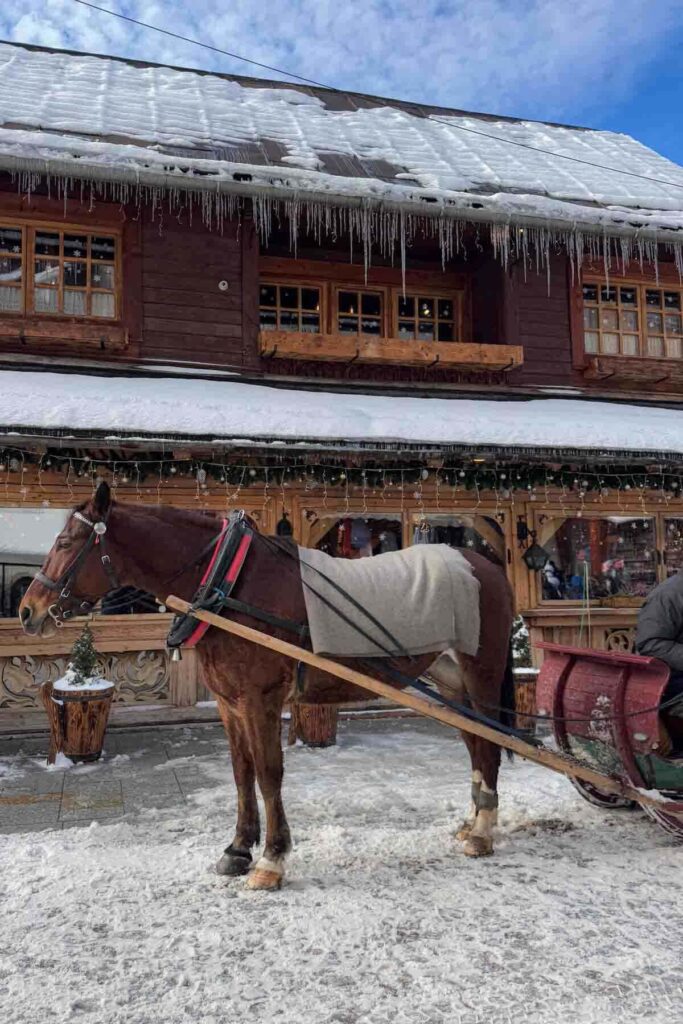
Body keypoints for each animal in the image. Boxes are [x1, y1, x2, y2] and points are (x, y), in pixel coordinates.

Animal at [19, 482, 515, 890]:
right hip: (452, 685)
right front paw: (238, 849)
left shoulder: (261, 699)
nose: (27, 611)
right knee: (475, 743)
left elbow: (268, 772)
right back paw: (473, 820)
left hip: (482, 676)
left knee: (490, 744)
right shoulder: (230, 702)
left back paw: (483, 832)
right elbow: (242, 772)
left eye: (65, 542)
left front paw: (272, 859)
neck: (229, 583)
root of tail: (485, 565)